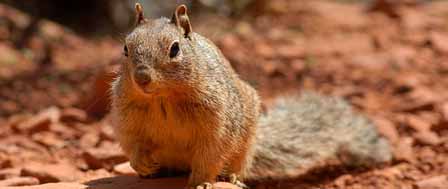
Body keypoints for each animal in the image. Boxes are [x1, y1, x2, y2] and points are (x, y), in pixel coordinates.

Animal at [109, 3, 392, 189]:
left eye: (175, 49)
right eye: (125, 48)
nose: (141, 78)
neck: (163, 98)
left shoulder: (218, 126)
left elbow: (210, 155)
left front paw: (201, 183)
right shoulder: (128, 120)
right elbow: (133, 143)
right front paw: (141, 164)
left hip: (246, 143)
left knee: (238, 164)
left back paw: (231, 177)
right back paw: (153, 173)